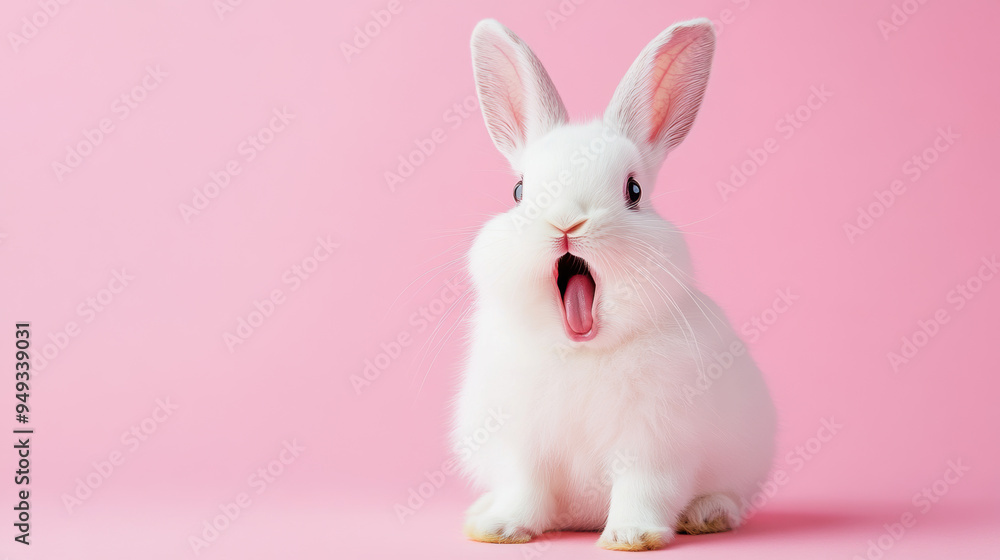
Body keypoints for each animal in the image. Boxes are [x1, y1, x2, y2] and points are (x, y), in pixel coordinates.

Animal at [451, 17, 777, 551]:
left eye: (634, 190)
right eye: (518, 191)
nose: (566, 222)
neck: (580, 351)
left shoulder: (655, 447)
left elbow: (643, 490)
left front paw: (631, 536)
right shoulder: (521, 445)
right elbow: (524, 489)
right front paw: (500, 530)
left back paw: (707, 515)